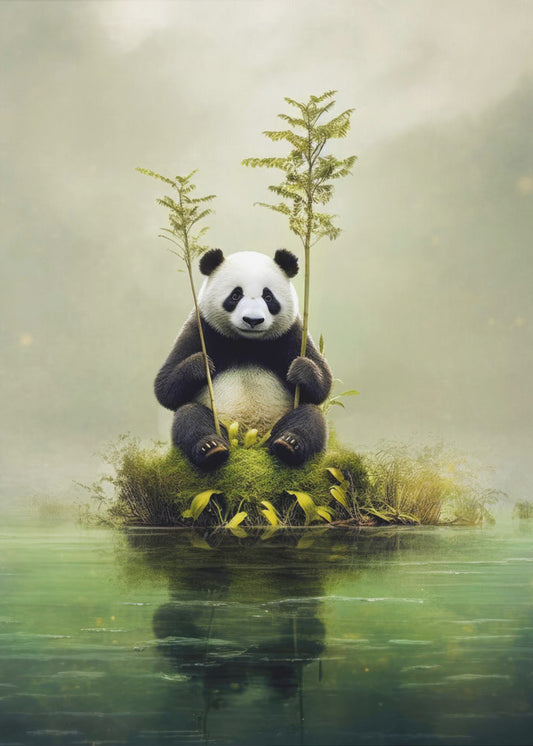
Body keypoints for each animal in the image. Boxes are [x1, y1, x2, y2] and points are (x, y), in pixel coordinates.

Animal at [154, 248, 332, 470]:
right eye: (236, 295)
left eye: (268, 296)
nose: (253, 320)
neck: (247, 343)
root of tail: (249, 443)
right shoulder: (201, 328)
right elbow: (165, 388)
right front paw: (202, 365)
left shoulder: (292, 333)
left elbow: (321, 386)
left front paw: (301, 369)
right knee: (189, 416)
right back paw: (211, 448)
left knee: (310, 417)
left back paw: (289, 444)